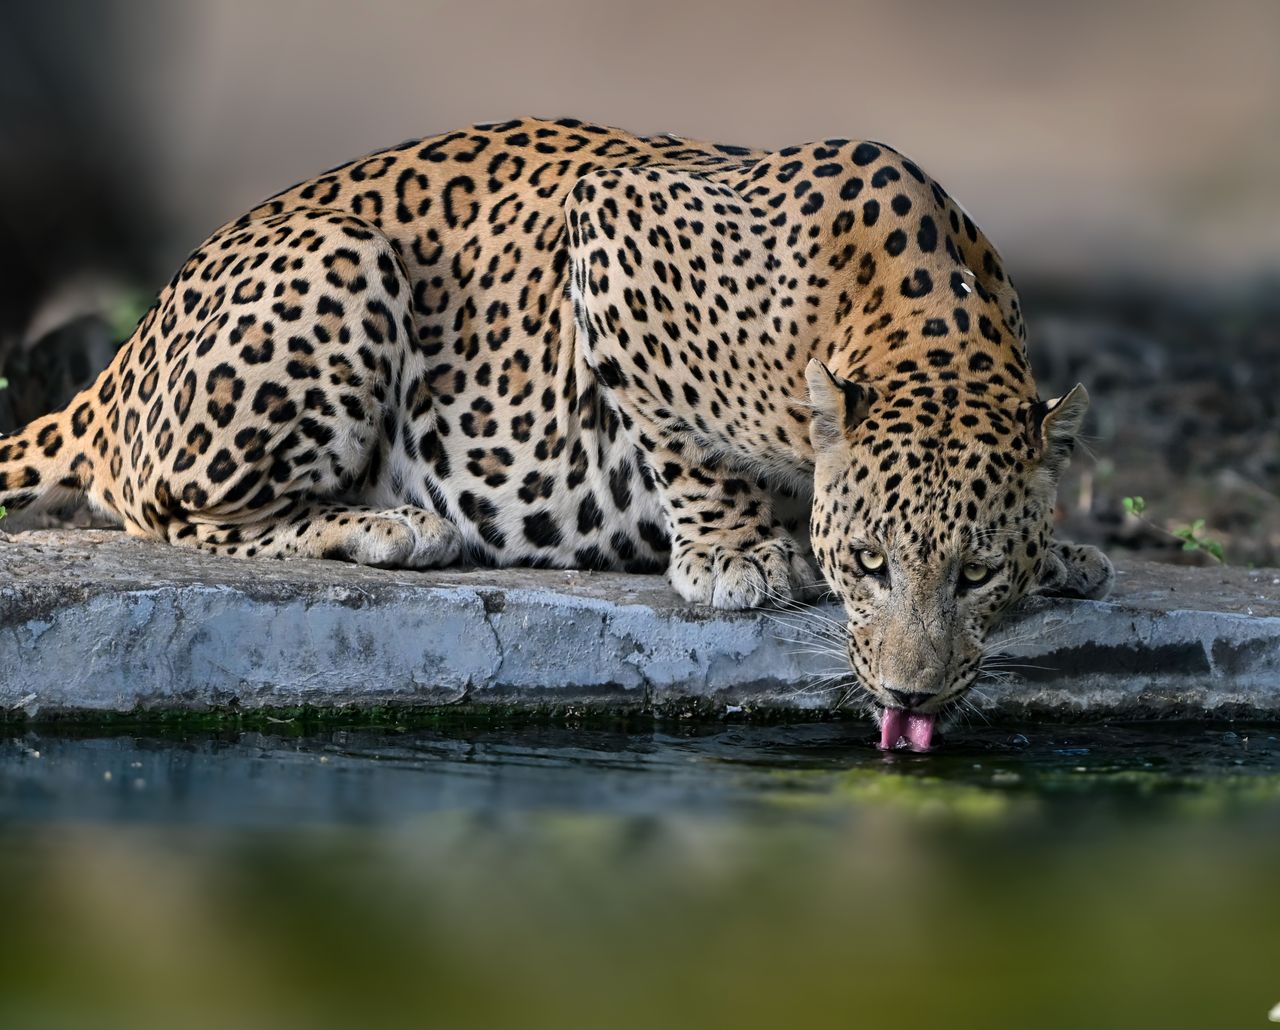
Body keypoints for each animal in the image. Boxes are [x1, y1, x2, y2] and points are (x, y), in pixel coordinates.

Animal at [0, 117, 1113, 749]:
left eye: (975, 574)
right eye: (872, 563)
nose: (910, 694)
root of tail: (118, 366)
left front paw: (1064, 555)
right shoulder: (614, 224)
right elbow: (681, 437)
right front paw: (734, 553)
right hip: (342, 265)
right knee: (176, 513)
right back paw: (390, 524)